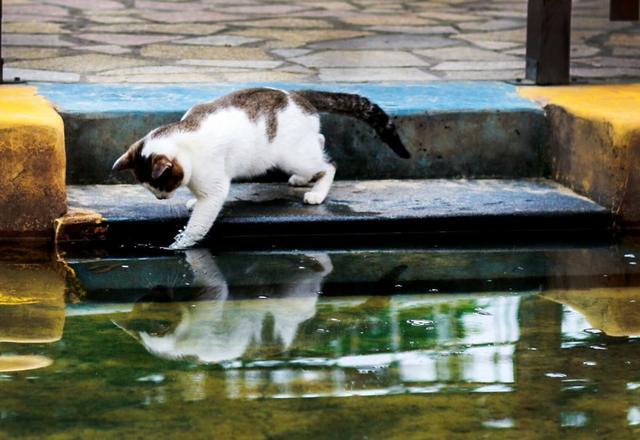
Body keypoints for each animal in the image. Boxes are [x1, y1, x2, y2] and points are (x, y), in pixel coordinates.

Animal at [111, 87, 410, 249]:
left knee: (329, 164)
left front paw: (179, 245)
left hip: (291, 155)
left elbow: (199, 223)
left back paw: (316, 192)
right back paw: (302, 179)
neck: (187, 140)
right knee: (319, 141)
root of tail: (297, 95)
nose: (161, 198)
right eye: (150, 189)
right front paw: (193, 203)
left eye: (160, 185)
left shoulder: (214, 185)